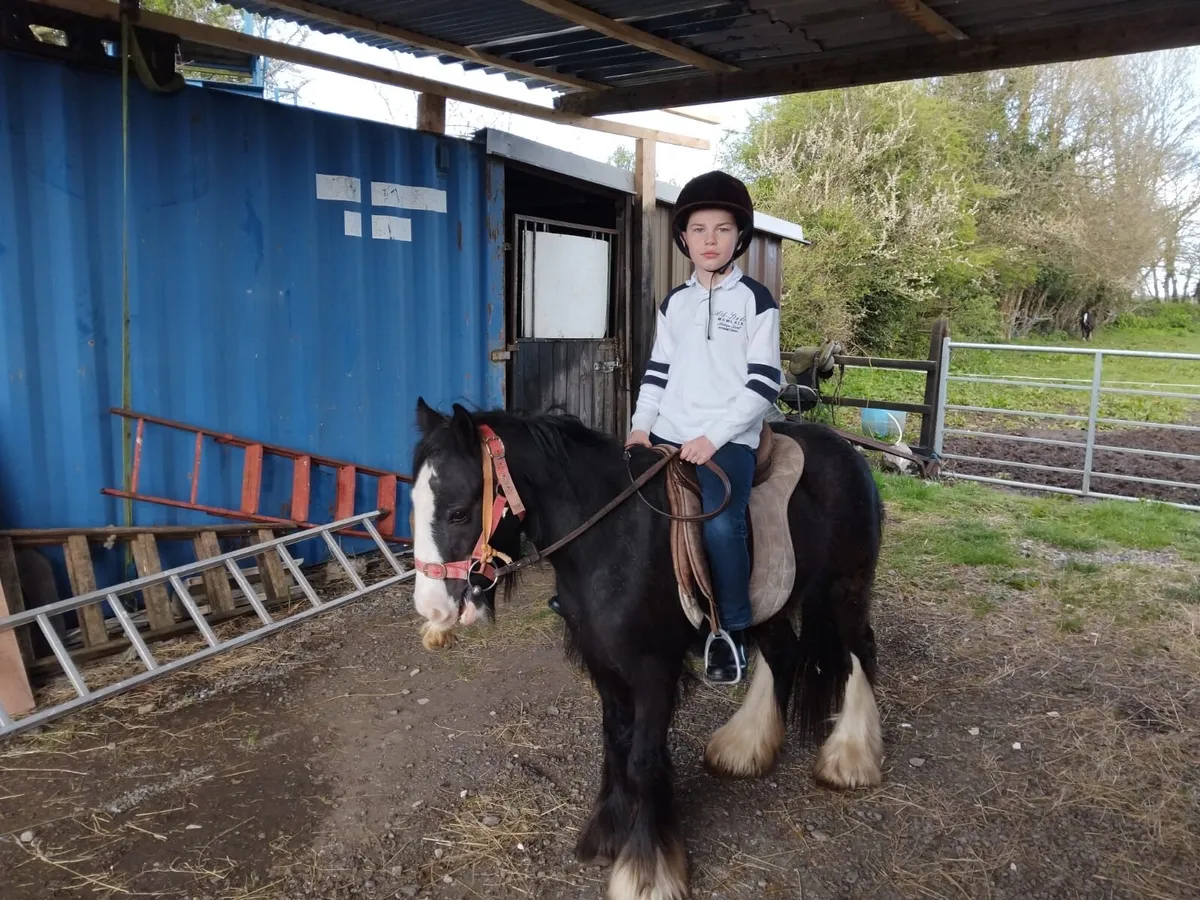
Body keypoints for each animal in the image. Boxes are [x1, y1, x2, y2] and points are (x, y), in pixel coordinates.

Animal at [409, 398, 885, 900]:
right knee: (784, 656)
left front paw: (647, 871)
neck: (612, 540)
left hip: (845, 590)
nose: (432, 607)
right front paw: (606, 834)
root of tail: (849, 452)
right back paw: (746, 747)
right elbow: (615, 748)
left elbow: (642, 761)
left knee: (860, 652)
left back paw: (850, 757)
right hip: (770, 606)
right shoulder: (604, 665)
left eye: (458, 513)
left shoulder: (654, 671)